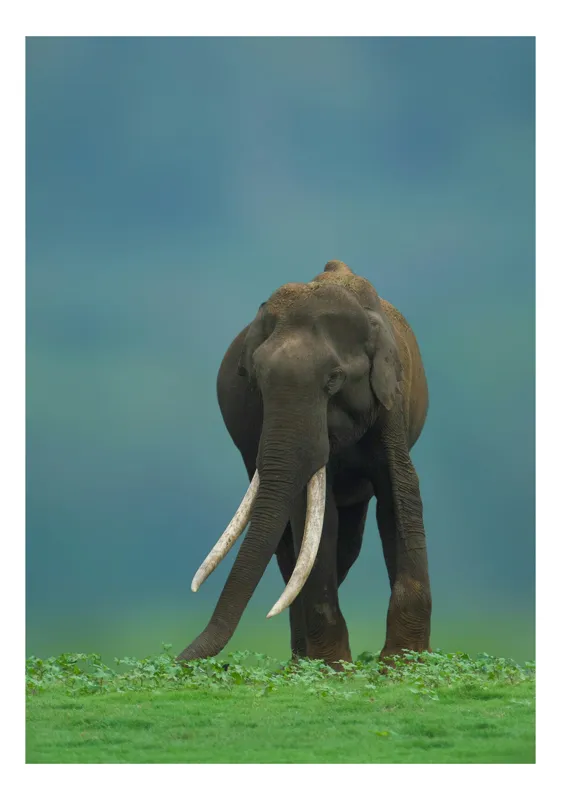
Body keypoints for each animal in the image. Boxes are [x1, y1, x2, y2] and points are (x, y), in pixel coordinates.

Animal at [178, 259, 432, 669]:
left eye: (334, 379)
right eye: (256, 380)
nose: (177, 661)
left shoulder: (391, 403)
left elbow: (400, 493)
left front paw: (402, 664)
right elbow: (312, 517)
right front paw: (332, 669)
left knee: (348, 541)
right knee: (294, 548)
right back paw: (302, 660)